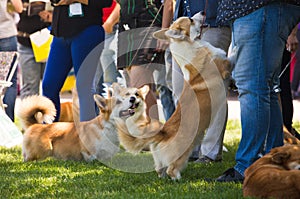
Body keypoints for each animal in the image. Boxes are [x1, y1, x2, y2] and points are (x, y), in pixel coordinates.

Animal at [114, 16, 230, 180]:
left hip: (159, 159)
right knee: (172, 168)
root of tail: (163, 133)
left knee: (159, 169)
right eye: (191, 20)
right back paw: (178, 179)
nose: (203, 12)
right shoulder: (224, 65)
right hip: (182, 154)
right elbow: (230, 60)